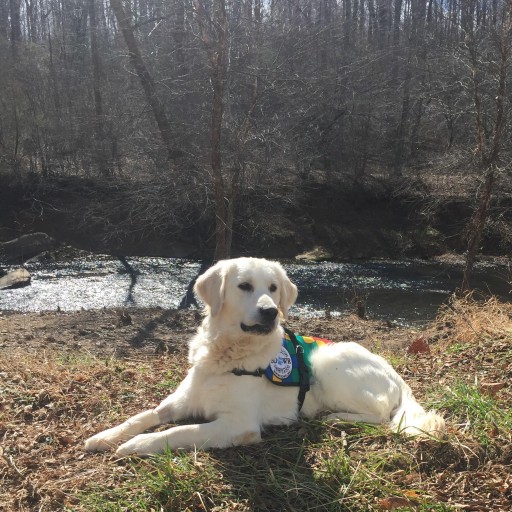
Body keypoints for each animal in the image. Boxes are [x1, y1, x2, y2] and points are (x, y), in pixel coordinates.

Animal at [85, 258, 444, 454]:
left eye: (273, 288)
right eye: (244, 285)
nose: (271, 312)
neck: (227, 355)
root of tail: (396, 375)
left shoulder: (240, 424)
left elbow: (179, 432)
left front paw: (137, 445)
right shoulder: (182, 399)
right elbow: (144, 415)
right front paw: (105, 436)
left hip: (328, 360)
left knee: (382, 414)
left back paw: (334, 417)